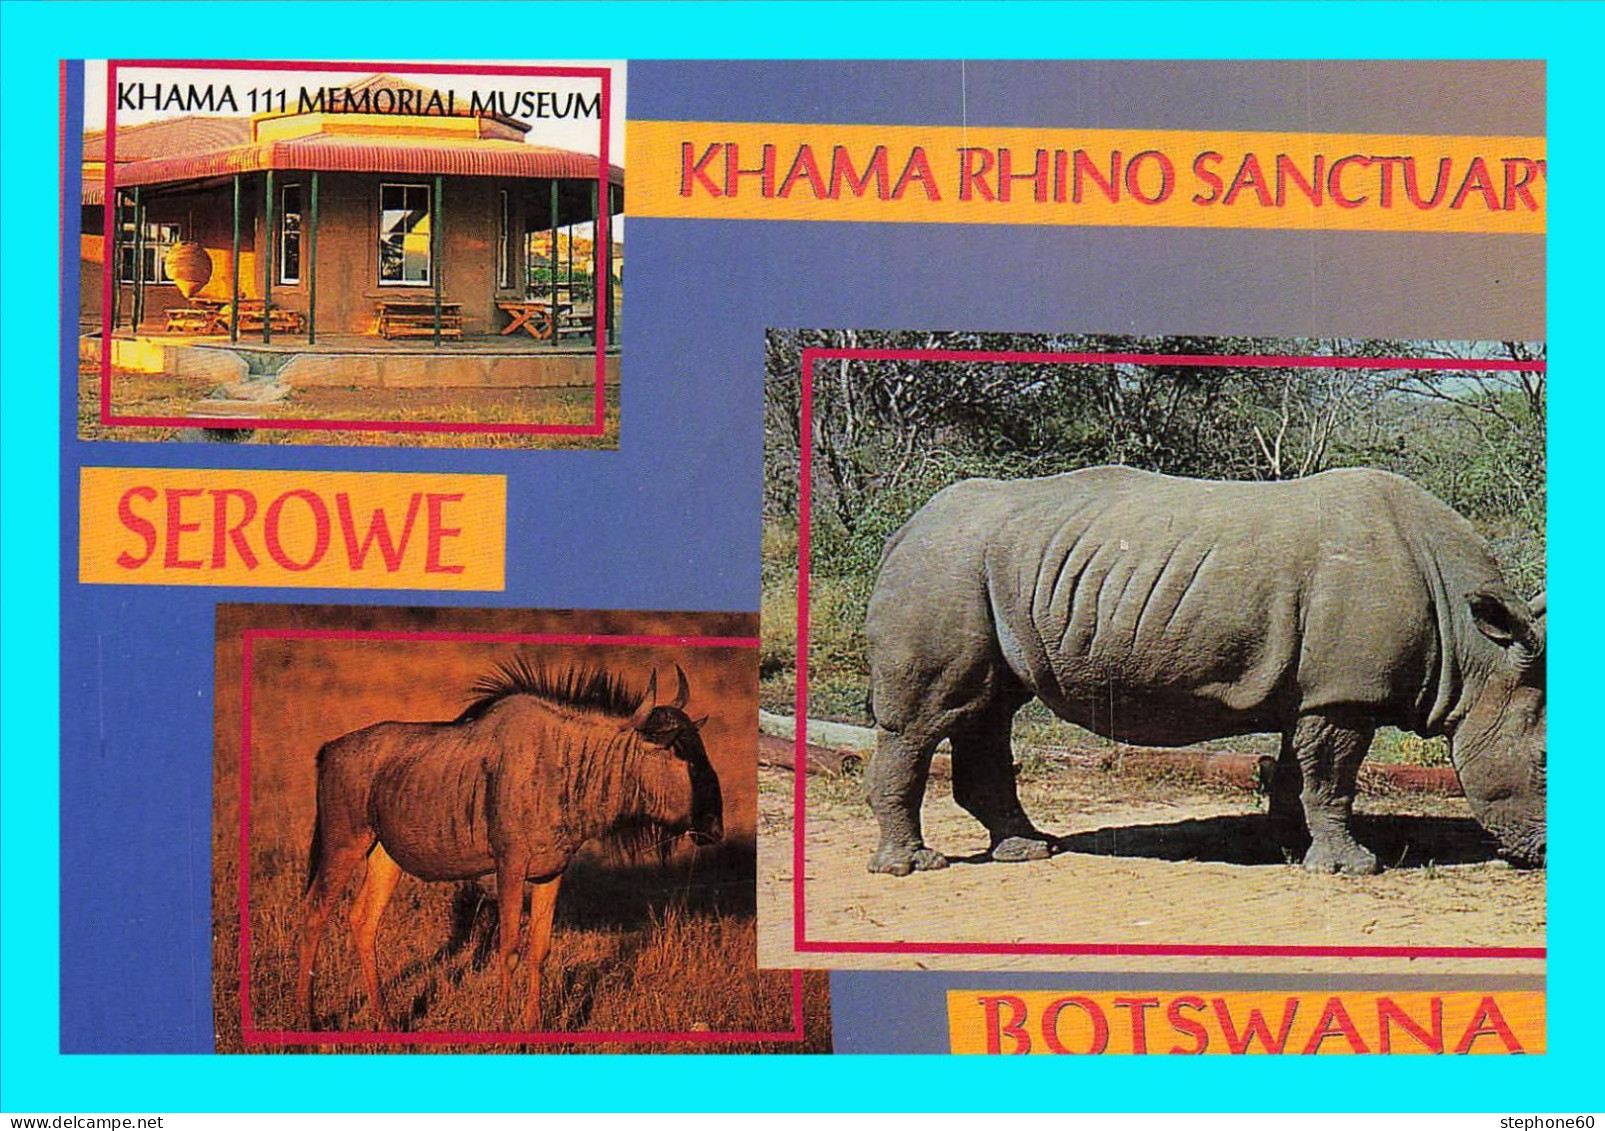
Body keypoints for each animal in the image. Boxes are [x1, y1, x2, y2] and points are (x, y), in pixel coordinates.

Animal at [864, 466, 1545, 876]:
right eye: (1543, 763)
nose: (1543, 856)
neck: (1475, 651)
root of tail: (906, 526)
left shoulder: (1312, 692)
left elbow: (1298, 771)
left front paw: (1289, 846)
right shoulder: (1342, 693)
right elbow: (1333, 777)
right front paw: (1351, 868)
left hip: (979, 569)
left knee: (989, 709)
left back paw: (1029, 852)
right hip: (944, 566)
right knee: (926, 721)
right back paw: (914, 867)